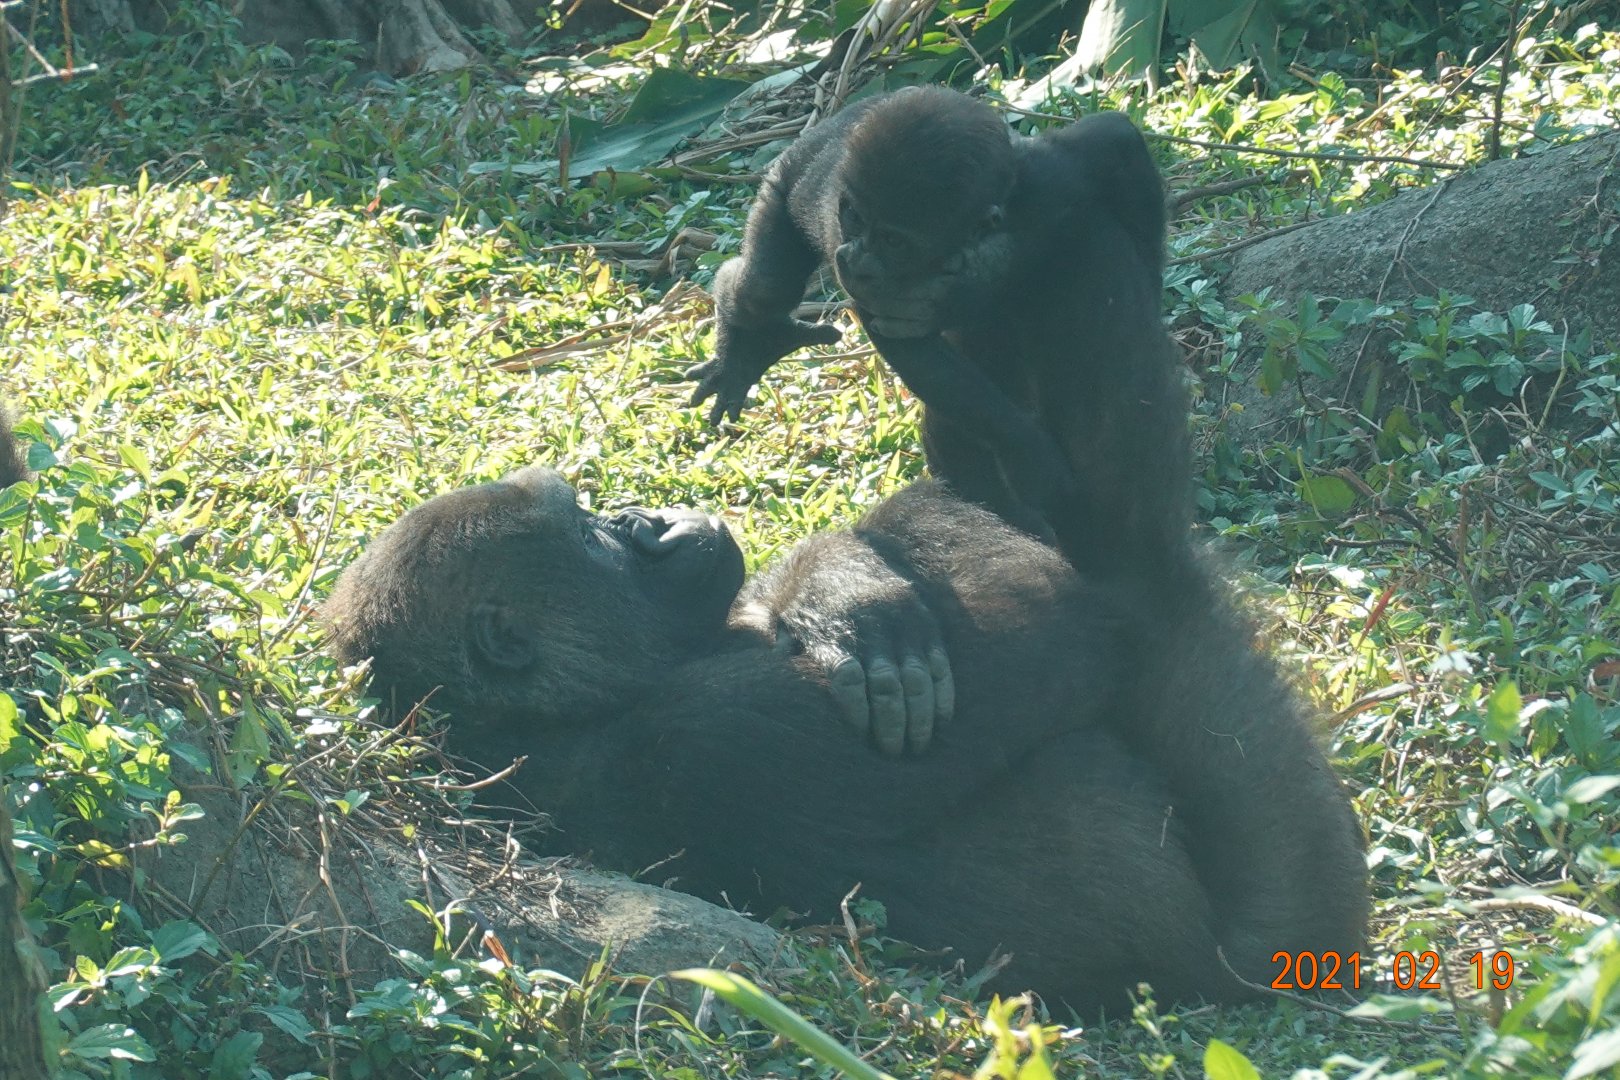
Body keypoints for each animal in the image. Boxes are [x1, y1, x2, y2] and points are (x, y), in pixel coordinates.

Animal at [324, 466, 1368, 1012]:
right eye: (591, 535)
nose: (649, 516)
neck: (524, 722)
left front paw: (842, 585)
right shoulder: (705, 740)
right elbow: (1049, 616)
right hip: (1269, 937)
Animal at [685, 86, 1191, 591]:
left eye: (894, 240)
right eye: (854, 218)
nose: (855, 258)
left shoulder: (1051, 181)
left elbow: (1114, 142)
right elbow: (929, 364)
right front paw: (1033, 458)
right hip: (783, 176)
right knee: (763, 289)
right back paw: (748, 336)